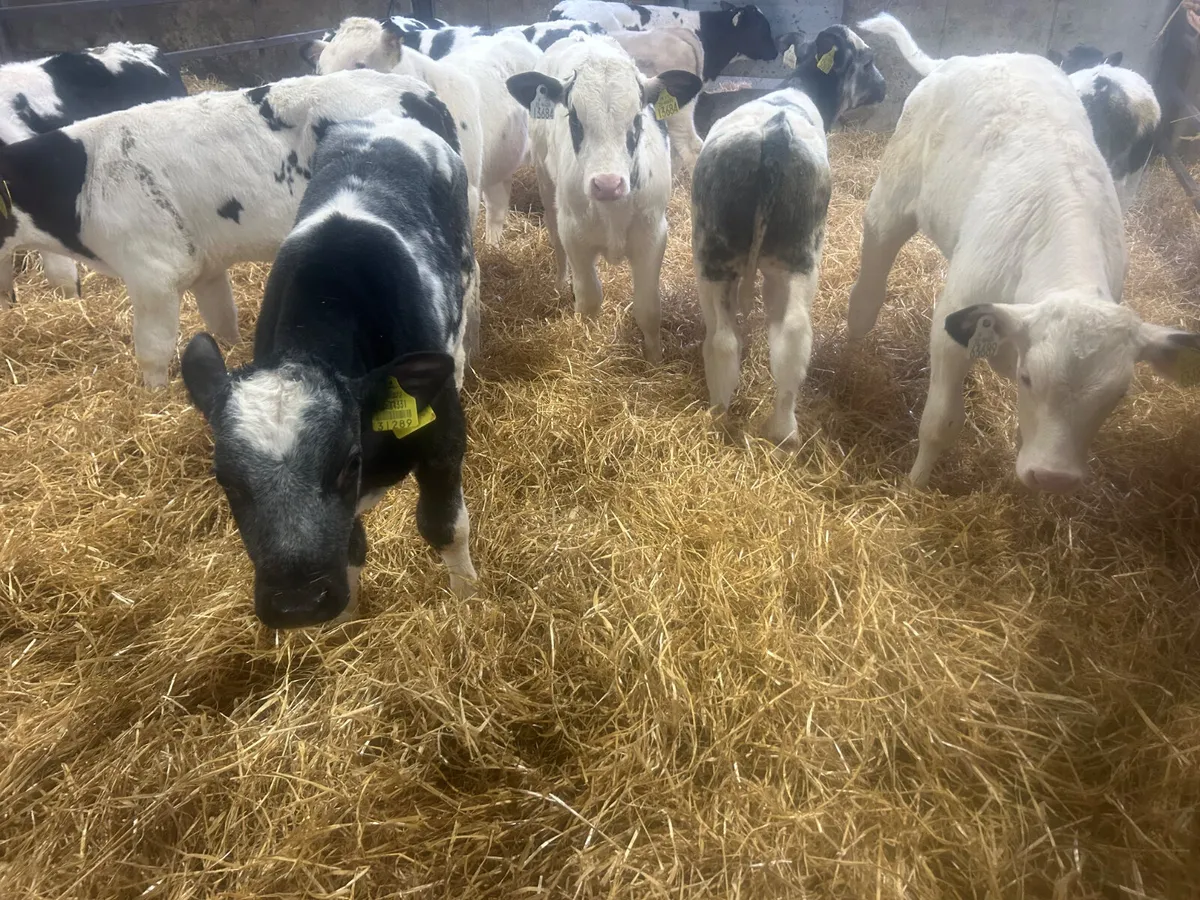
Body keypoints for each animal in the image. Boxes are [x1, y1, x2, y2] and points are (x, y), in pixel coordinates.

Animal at [0, 70, 464, 388]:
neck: (82, 177)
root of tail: (420, 92)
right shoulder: (203, 268)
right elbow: (221, 324)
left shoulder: (152, 275)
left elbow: (152, 351)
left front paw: (152, 402)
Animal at [181, 110, 477, 629]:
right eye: (226, 481)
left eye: (348, 462)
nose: (298, 604)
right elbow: (351, 546)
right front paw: (344, 625)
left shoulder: (443, 434)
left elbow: (443, 527)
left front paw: (468, 601)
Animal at [506, 34, 702, 362]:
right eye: (574, 119)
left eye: (637, 118)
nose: (607, 185)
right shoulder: (573, 234)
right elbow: (589, 301)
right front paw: (587, 346)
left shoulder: (653, 235)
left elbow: (648, 308)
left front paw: (654, 360)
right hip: (546, 184)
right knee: (555, 237)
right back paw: (560, 282)